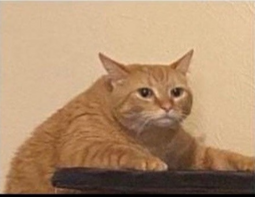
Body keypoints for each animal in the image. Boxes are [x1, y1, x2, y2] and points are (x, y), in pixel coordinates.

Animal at [4, 50, 255, 193]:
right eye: (145, 92)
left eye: (176, 92)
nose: (167, 106)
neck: (153, 139)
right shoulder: (81, 148)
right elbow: (118, 150)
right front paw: (149, 160)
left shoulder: (194, 156)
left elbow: (226, 157)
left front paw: (249, 161)